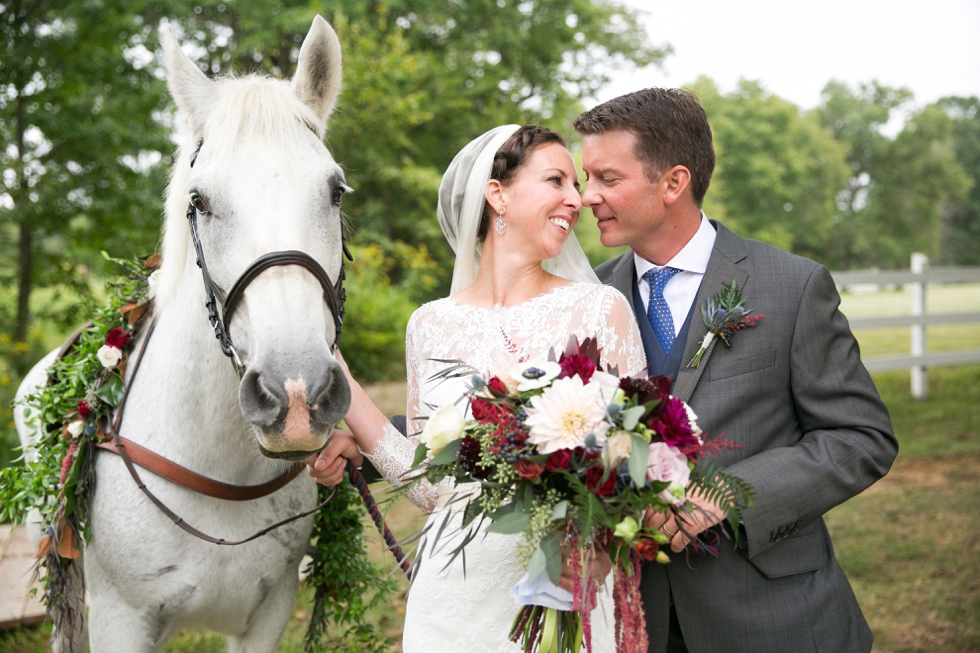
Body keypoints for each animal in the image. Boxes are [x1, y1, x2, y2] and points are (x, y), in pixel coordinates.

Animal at [14, 15, 348, 652]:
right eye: (200, 200)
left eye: (335, 191)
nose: (297, 395)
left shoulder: (268, 616)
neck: (221, 474)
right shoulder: (121, 620)